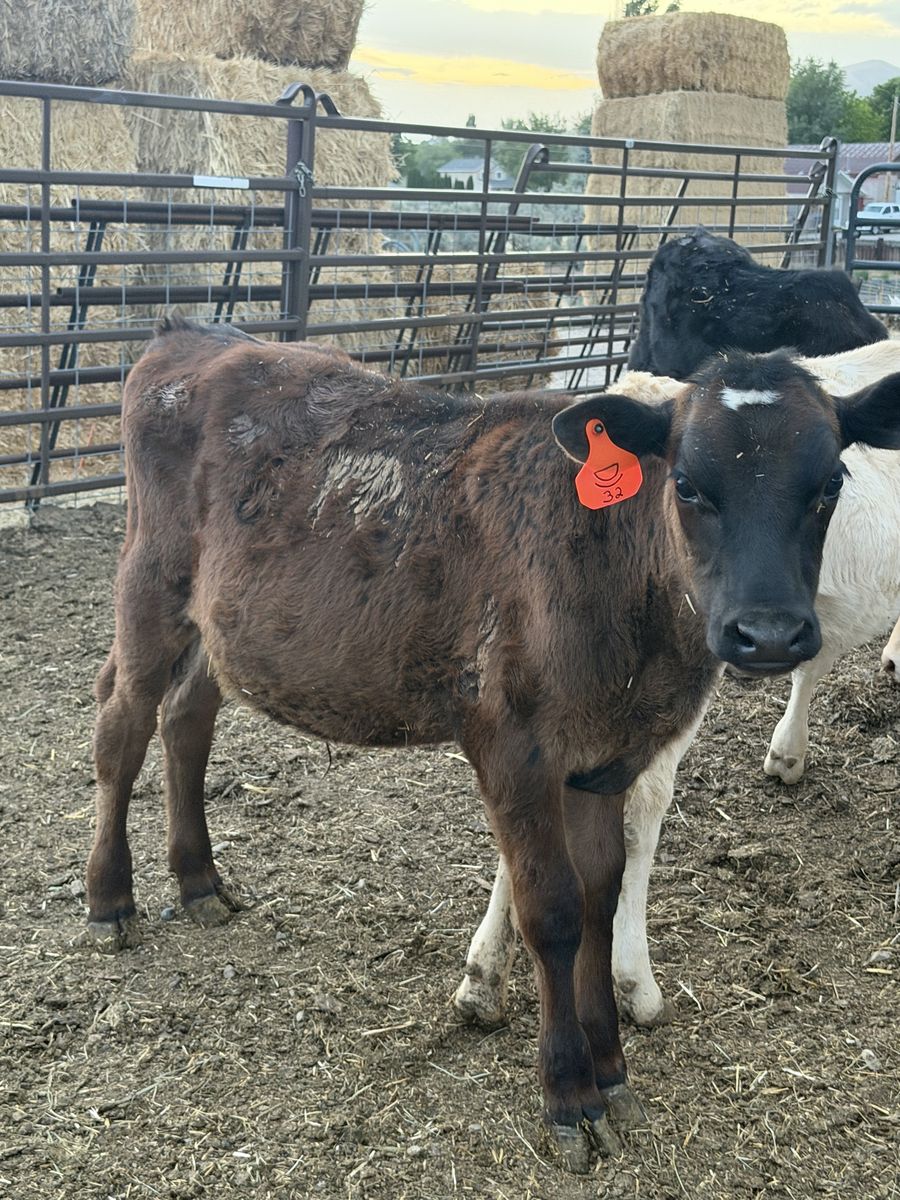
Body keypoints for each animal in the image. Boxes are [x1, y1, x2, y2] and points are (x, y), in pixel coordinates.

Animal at [85, 317, 900, 1172]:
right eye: (686, 484)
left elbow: (602, 896)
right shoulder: (513, 746)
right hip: (150, 584)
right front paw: (570, 1094)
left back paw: (198, 881)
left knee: (188, 718)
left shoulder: (606, 759)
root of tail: (194, 334)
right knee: (123, 721)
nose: (768, 633)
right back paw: (110, 898)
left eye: (830, 484)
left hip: (222, 625)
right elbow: (554, 910)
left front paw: (611, 1069)